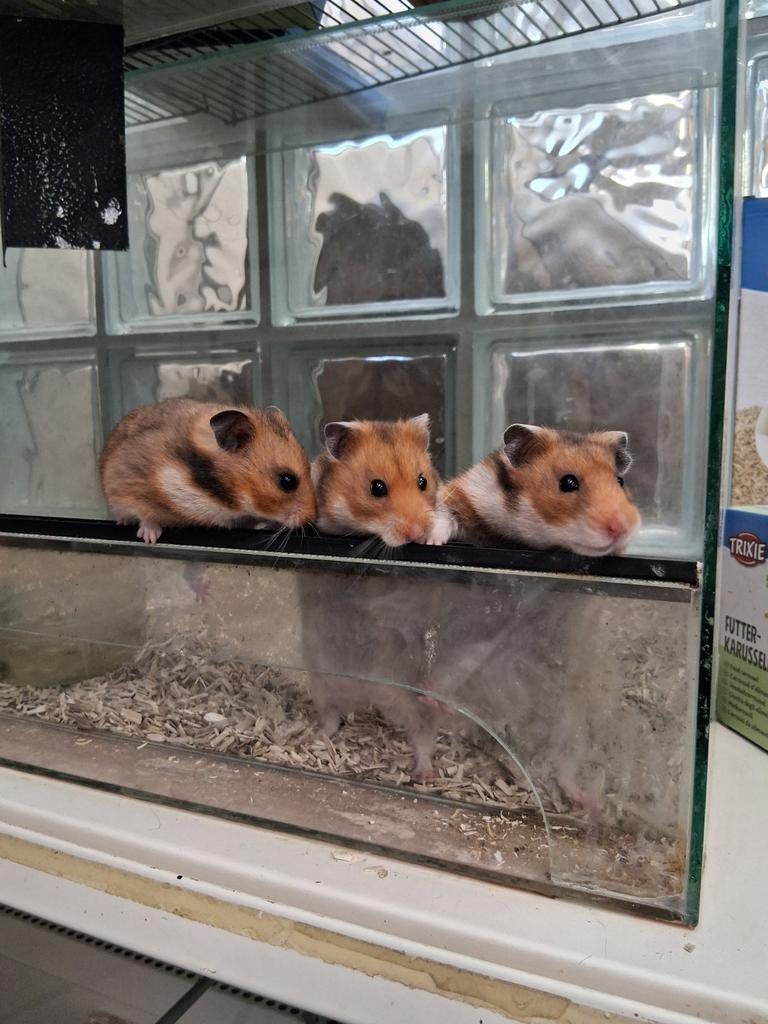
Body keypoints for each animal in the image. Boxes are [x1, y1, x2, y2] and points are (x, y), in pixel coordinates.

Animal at [434, 424, 641, 557]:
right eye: (568, 483)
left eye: (620, 481)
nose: (623, 529)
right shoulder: (464, 492)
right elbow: (445, 515)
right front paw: (434, 542)